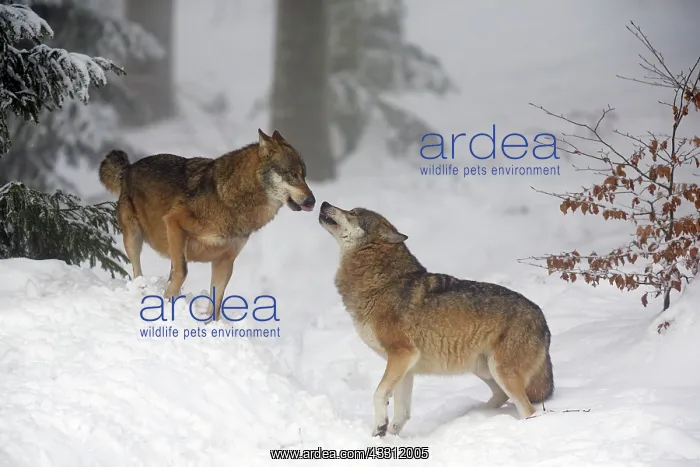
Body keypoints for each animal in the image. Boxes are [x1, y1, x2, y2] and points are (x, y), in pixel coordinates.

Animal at [99, 129, 316, 321]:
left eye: (304, 175)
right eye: (293, 174)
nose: (313, 201)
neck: (228, 199)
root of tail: (129, 167)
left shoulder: (225, 260)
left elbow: (216, 302)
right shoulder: (174, 222)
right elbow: (183, 272)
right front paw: (168, 303)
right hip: (134, 238)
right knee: (138, 272)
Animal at [318, 201, 554, 437]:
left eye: (353, 212)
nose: (324, 203)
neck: (383, 282)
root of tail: (542, 319)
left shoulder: (402, 354)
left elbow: (379, 394)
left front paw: (379, 427)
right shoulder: (405, 366)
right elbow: (401, 413)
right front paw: (389, 437)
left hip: (501, 372)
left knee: (528, 409)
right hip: (483, 369)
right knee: (501, 397)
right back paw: (473, 415)